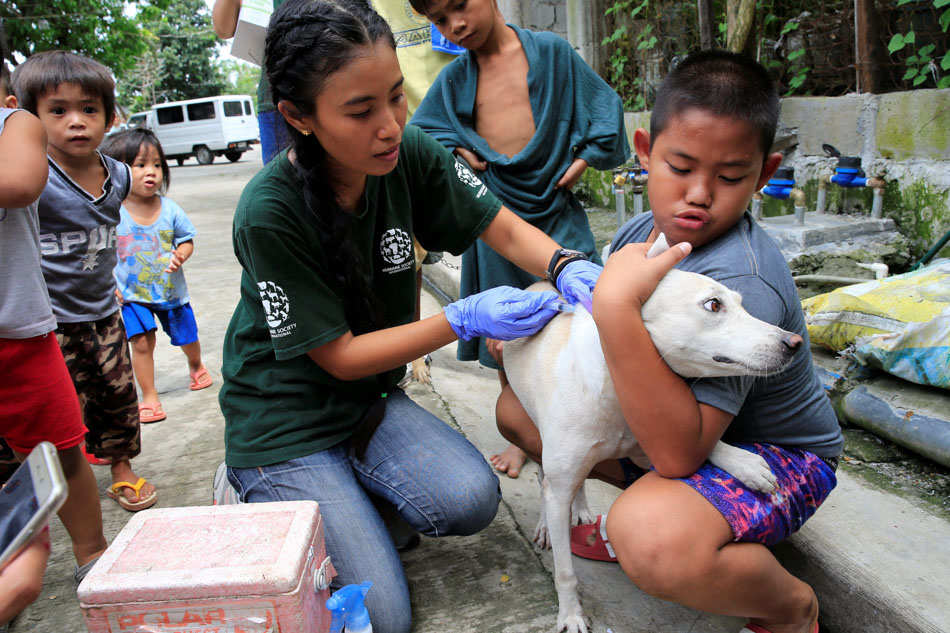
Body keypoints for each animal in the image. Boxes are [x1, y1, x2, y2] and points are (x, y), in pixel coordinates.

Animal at [506, 236, 804, 632]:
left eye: (743, 303)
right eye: (713, 305)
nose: (794, 342)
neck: (612, 387)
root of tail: (539, 285)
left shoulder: (651, 447)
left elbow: (700, 446)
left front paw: (742, 462)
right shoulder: (562, 476)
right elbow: (565, 572)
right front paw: (570, 614)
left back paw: (581, 509)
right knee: (545, 479)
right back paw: (545, 524)